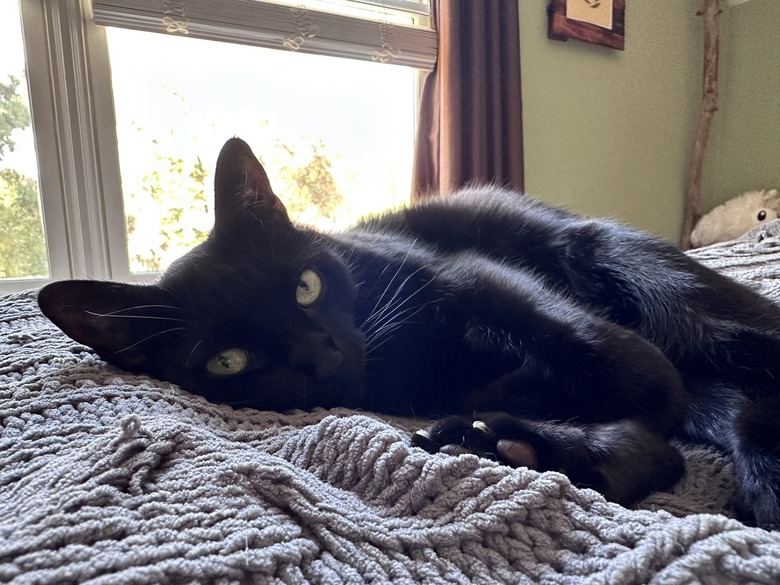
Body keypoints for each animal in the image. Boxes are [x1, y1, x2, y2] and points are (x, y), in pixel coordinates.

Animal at [38, 138, 780, 528]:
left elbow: (606, 353)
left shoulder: (475, 278)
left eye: (305, 286)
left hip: (650, 280)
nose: (320, 356)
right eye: (228, 360)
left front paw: (628, 394)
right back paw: (517, 445)